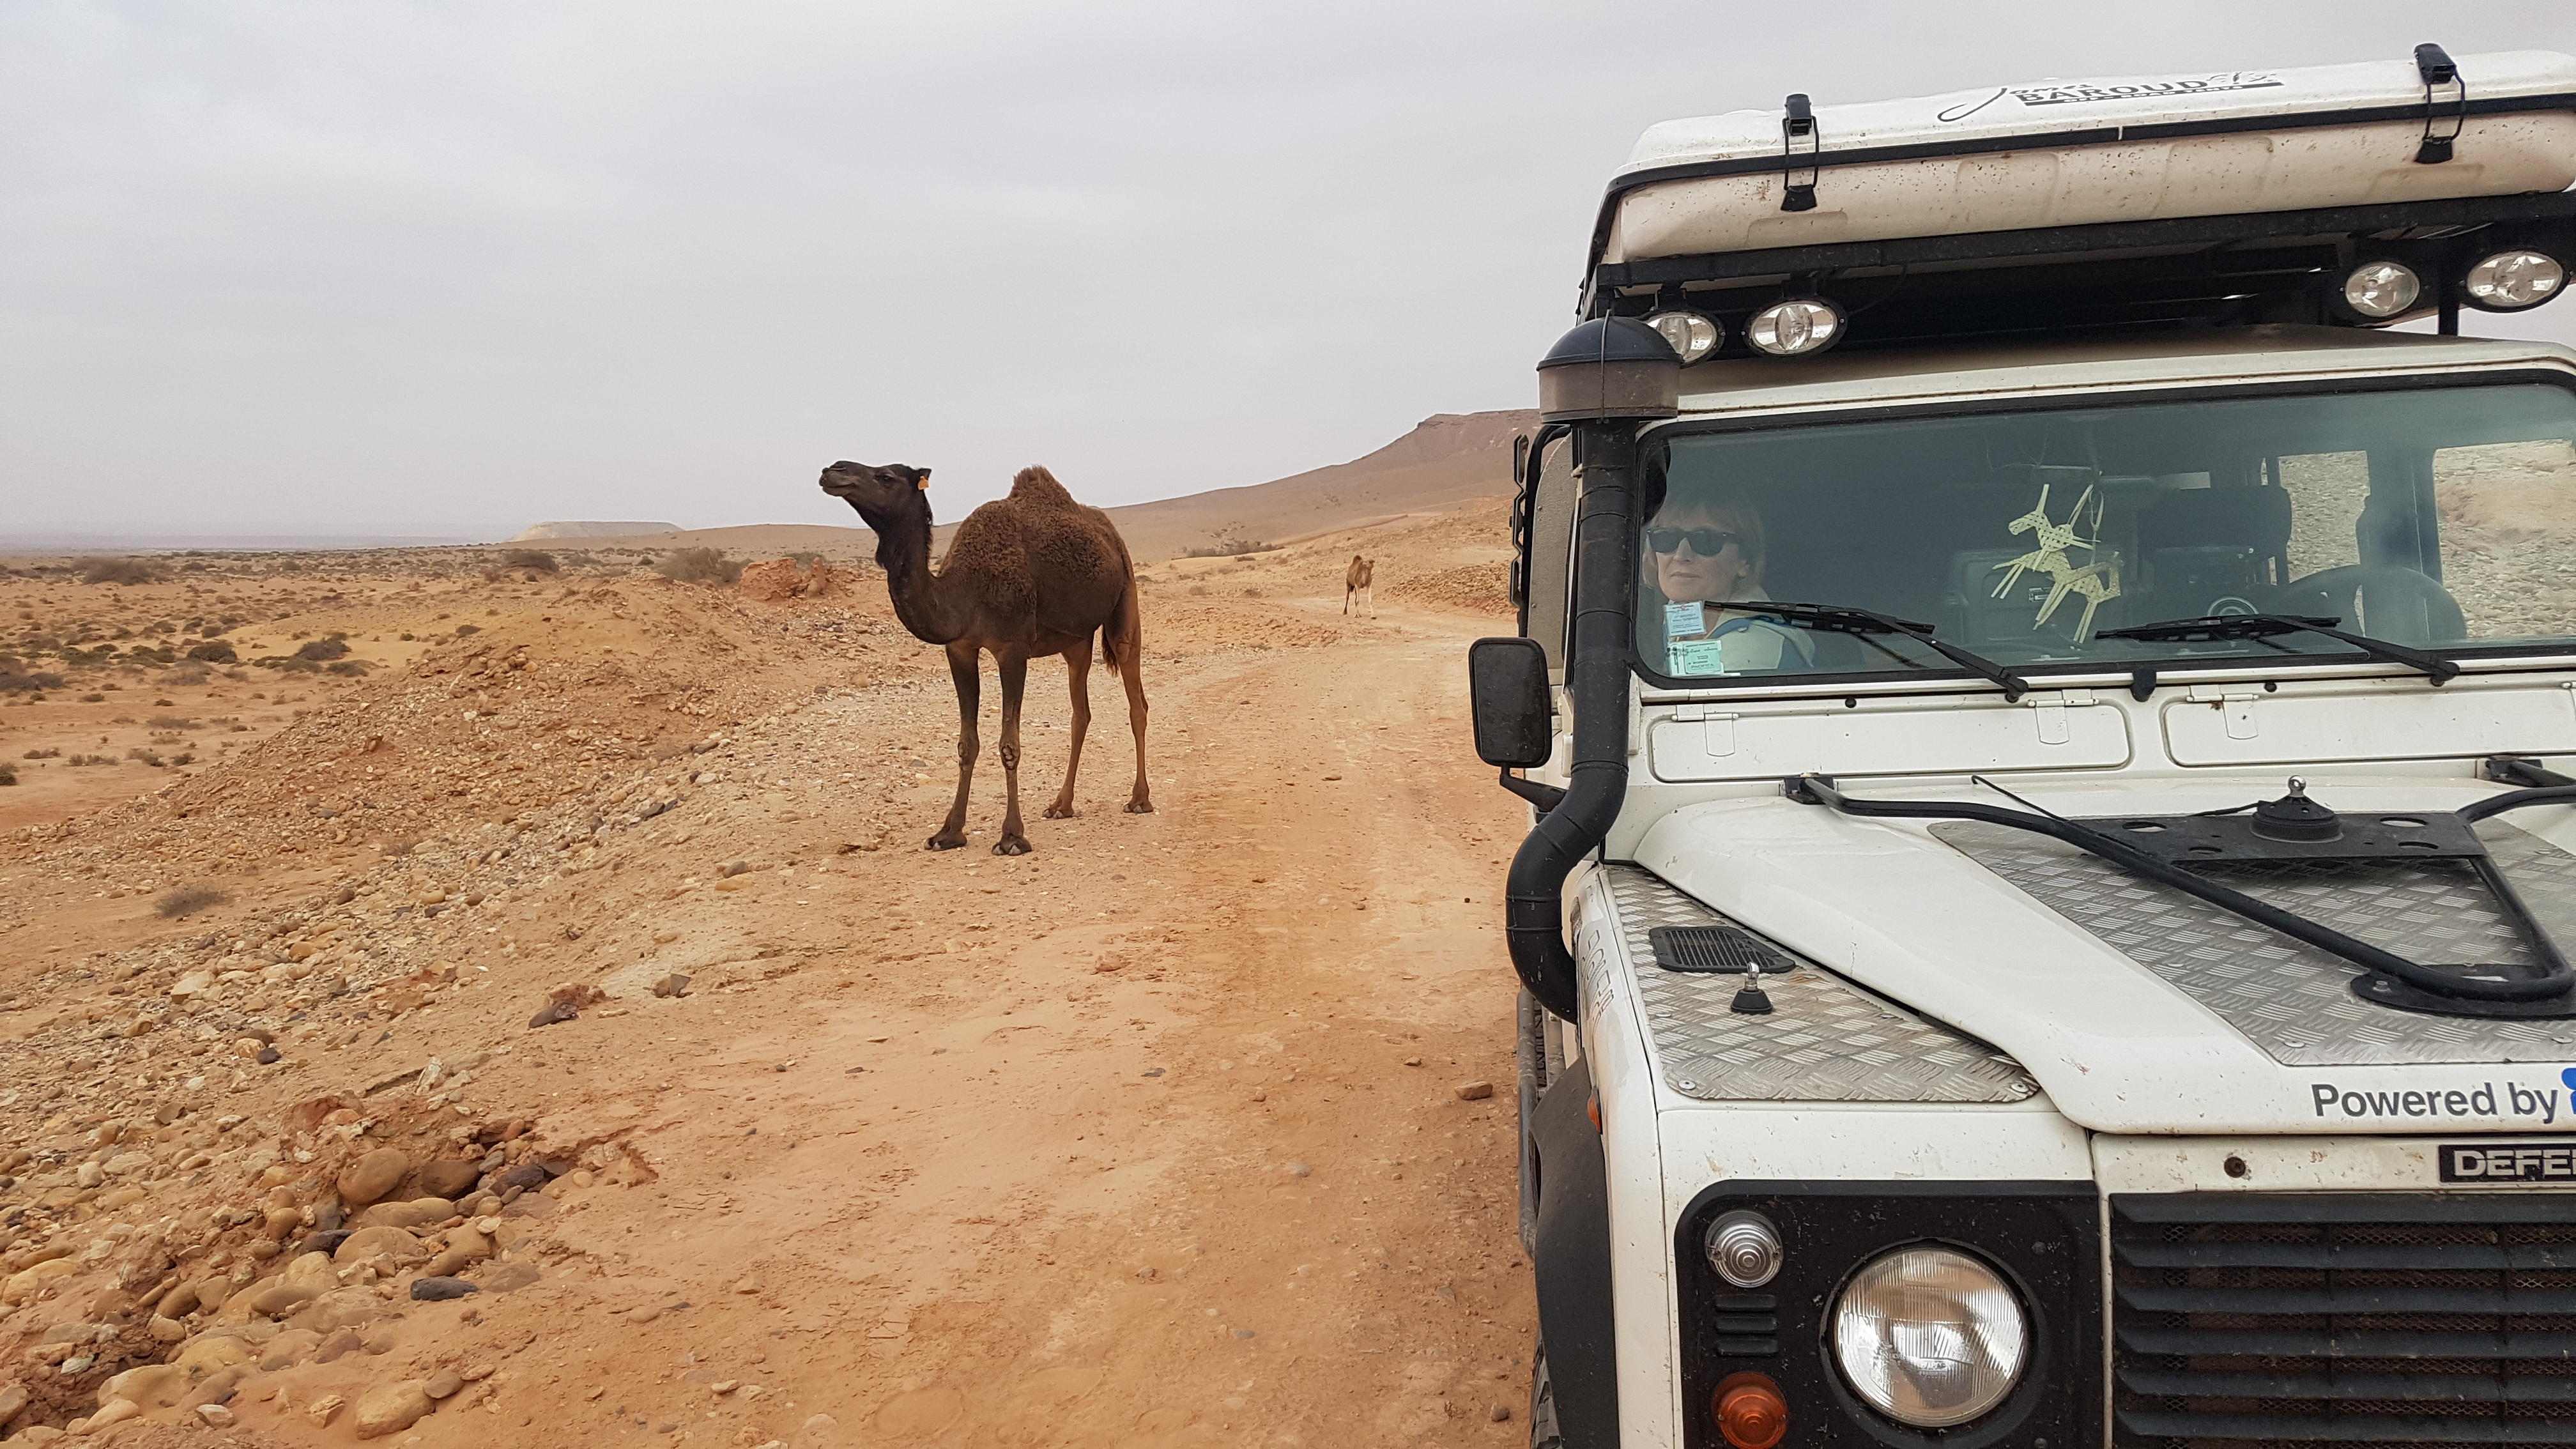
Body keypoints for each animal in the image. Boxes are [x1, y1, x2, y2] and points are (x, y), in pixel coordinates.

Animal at [818, 461, 1151, 855]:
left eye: (886, 476)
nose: (832, 470)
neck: (964, 593)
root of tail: (1109, 534)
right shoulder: (960, 649)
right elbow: (967, 743)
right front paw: (948, 832)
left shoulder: (1013, 648)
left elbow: (1009, 744)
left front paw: (1012, 837)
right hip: (1076, 641)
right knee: (1080, 713)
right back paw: (1061, 805)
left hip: (1125, 597)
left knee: (1136, 698)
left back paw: (1139, 799)